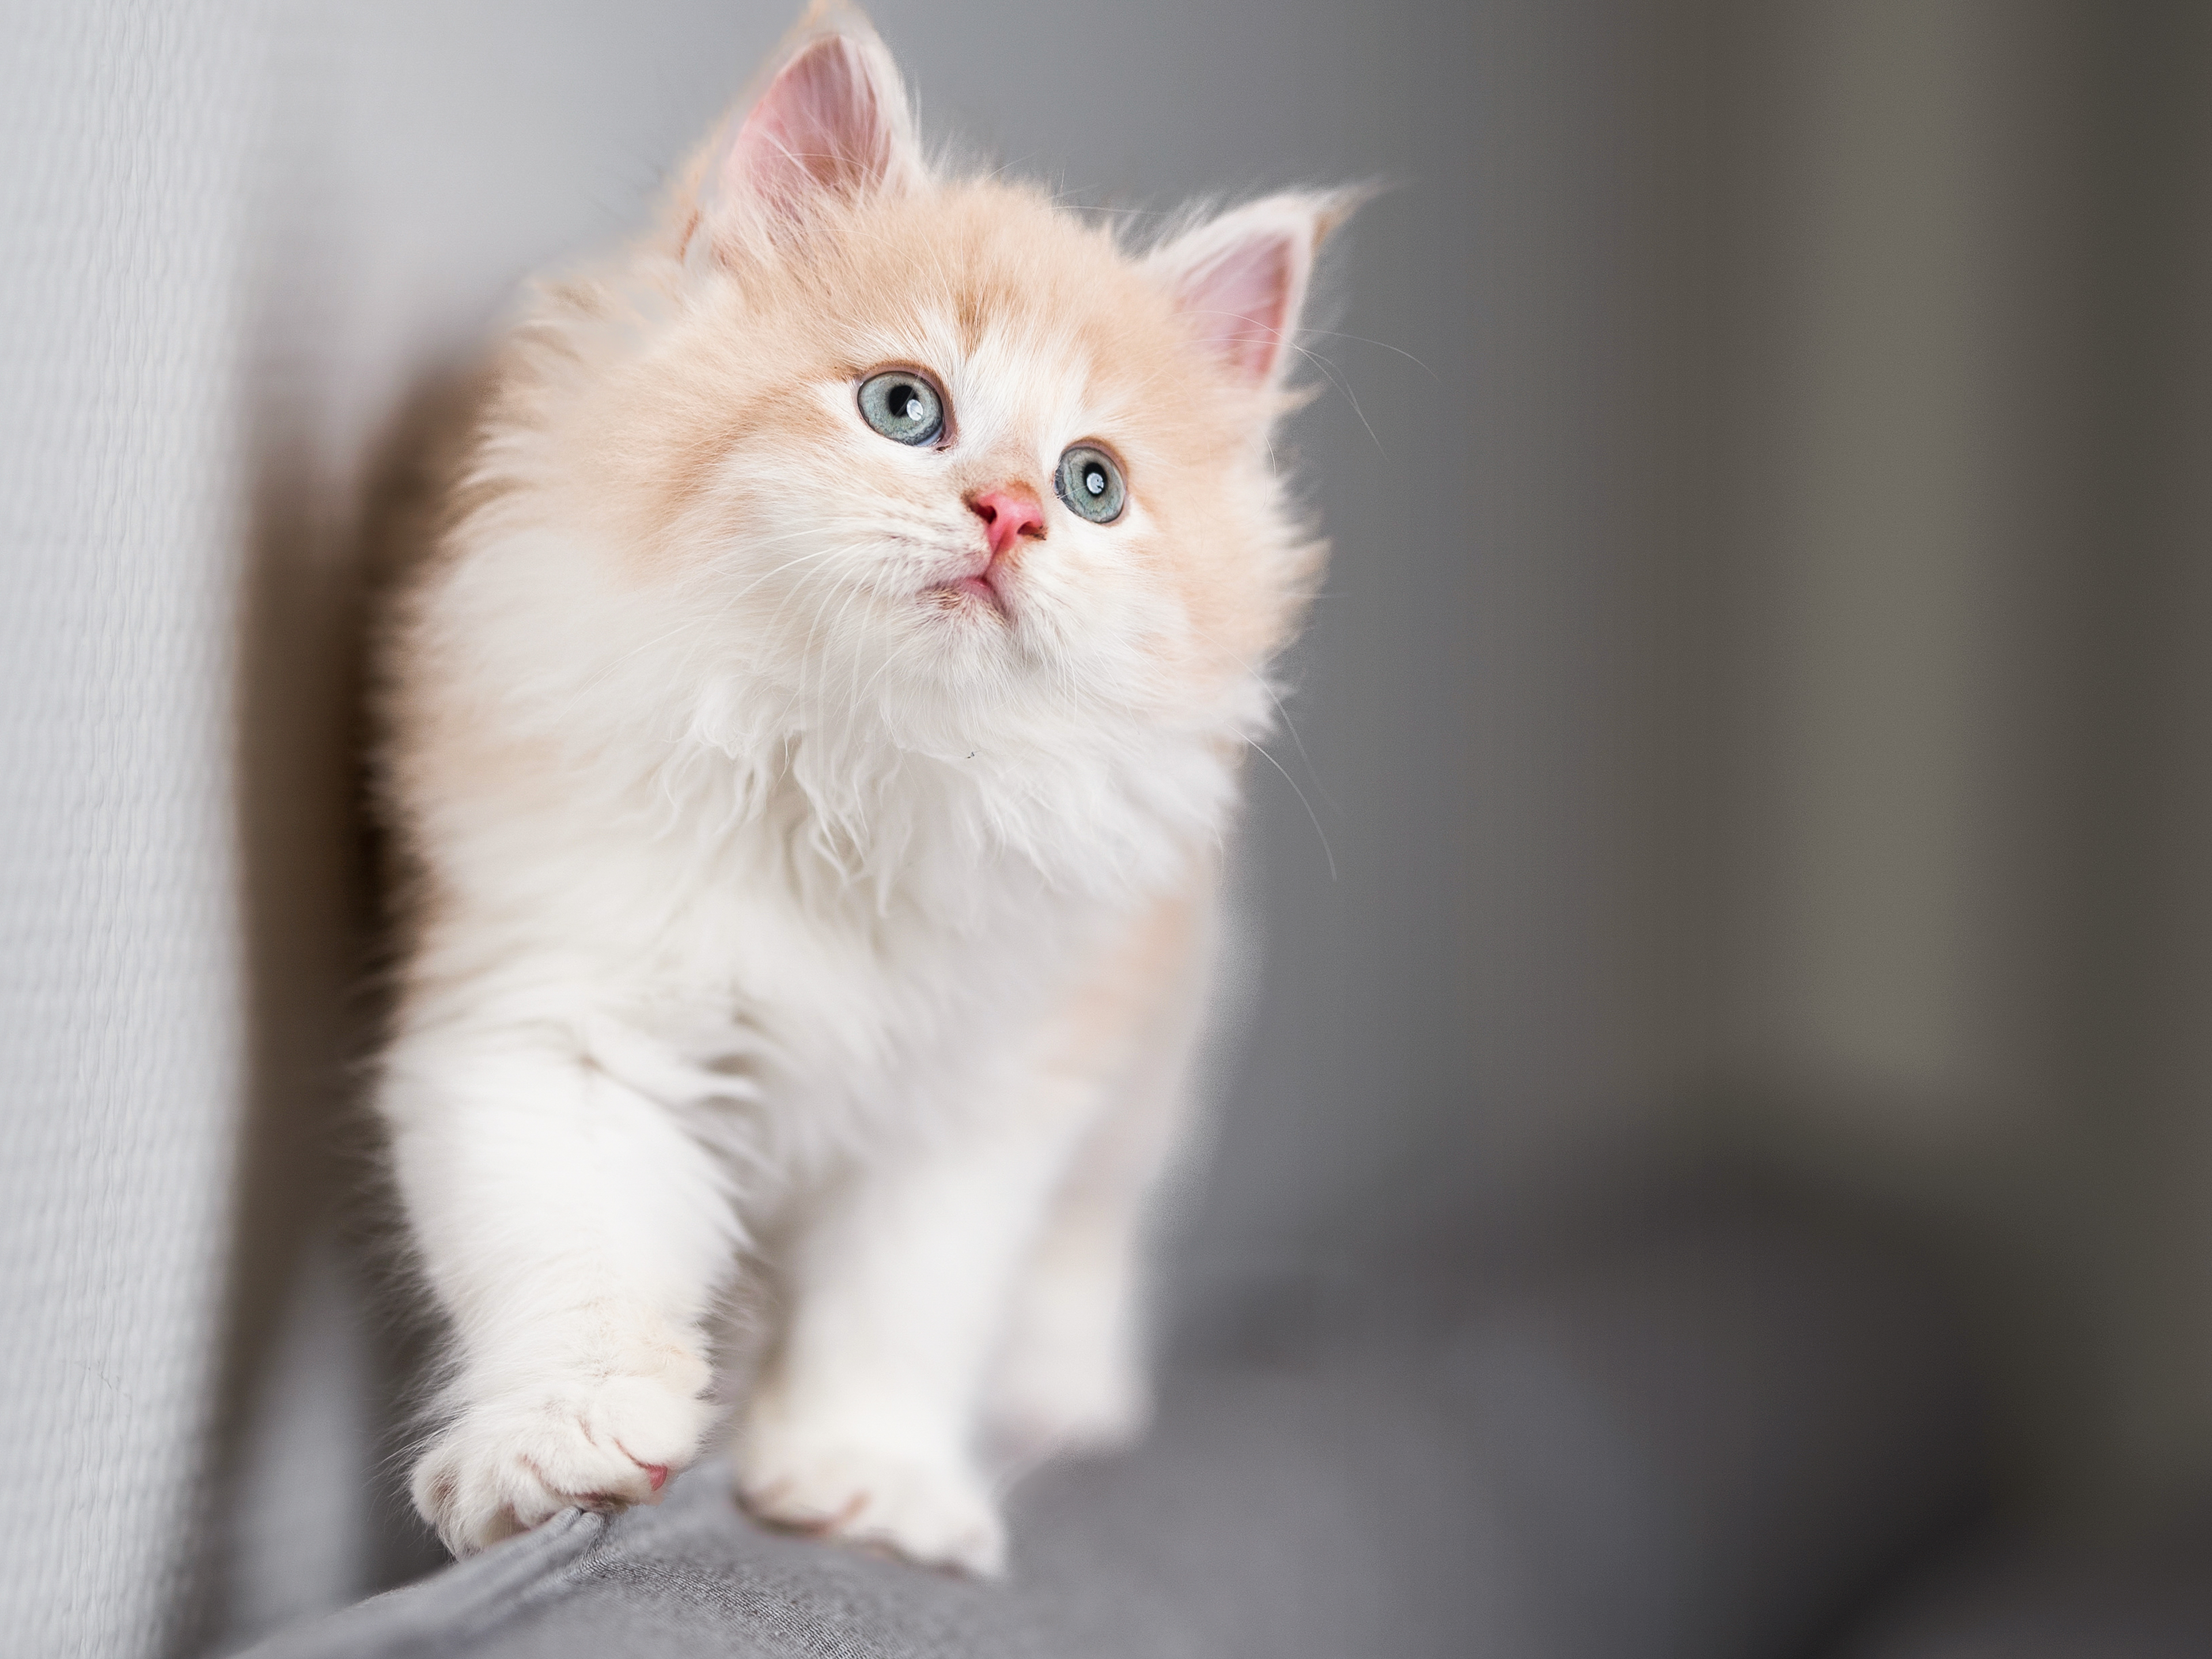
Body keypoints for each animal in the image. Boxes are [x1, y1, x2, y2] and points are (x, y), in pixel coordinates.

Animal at [369, 3, 1344, 1584]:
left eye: (1093, 484)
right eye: (904, 406)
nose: (1010, 513)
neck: (855, 776)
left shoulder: (988, 1087)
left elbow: (910, 1300)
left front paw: (864, 1480)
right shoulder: (554, 1010)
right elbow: (569, 1249)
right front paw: (561, 1438)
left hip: (1164, 1019)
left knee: (1096, 1222)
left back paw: (1066, 1387)